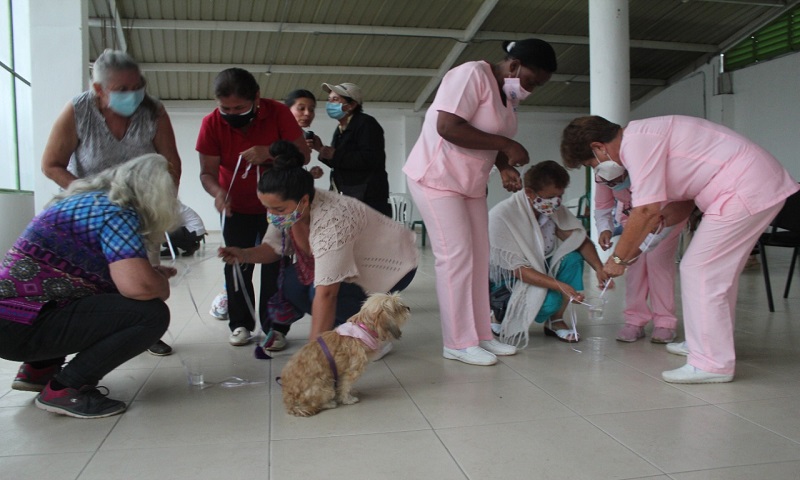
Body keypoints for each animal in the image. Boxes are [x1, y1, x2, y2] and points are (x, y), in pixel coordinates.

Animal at [280, 292, 410, 416]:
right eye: (398, 307)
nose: (408, 307)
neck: (363, 329)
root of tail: (289, 401)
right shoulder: (351, 371)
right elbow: (345, 387)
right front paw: (348, 399)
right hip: (327, 387)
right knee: (317, 403)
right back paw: (330, 403)